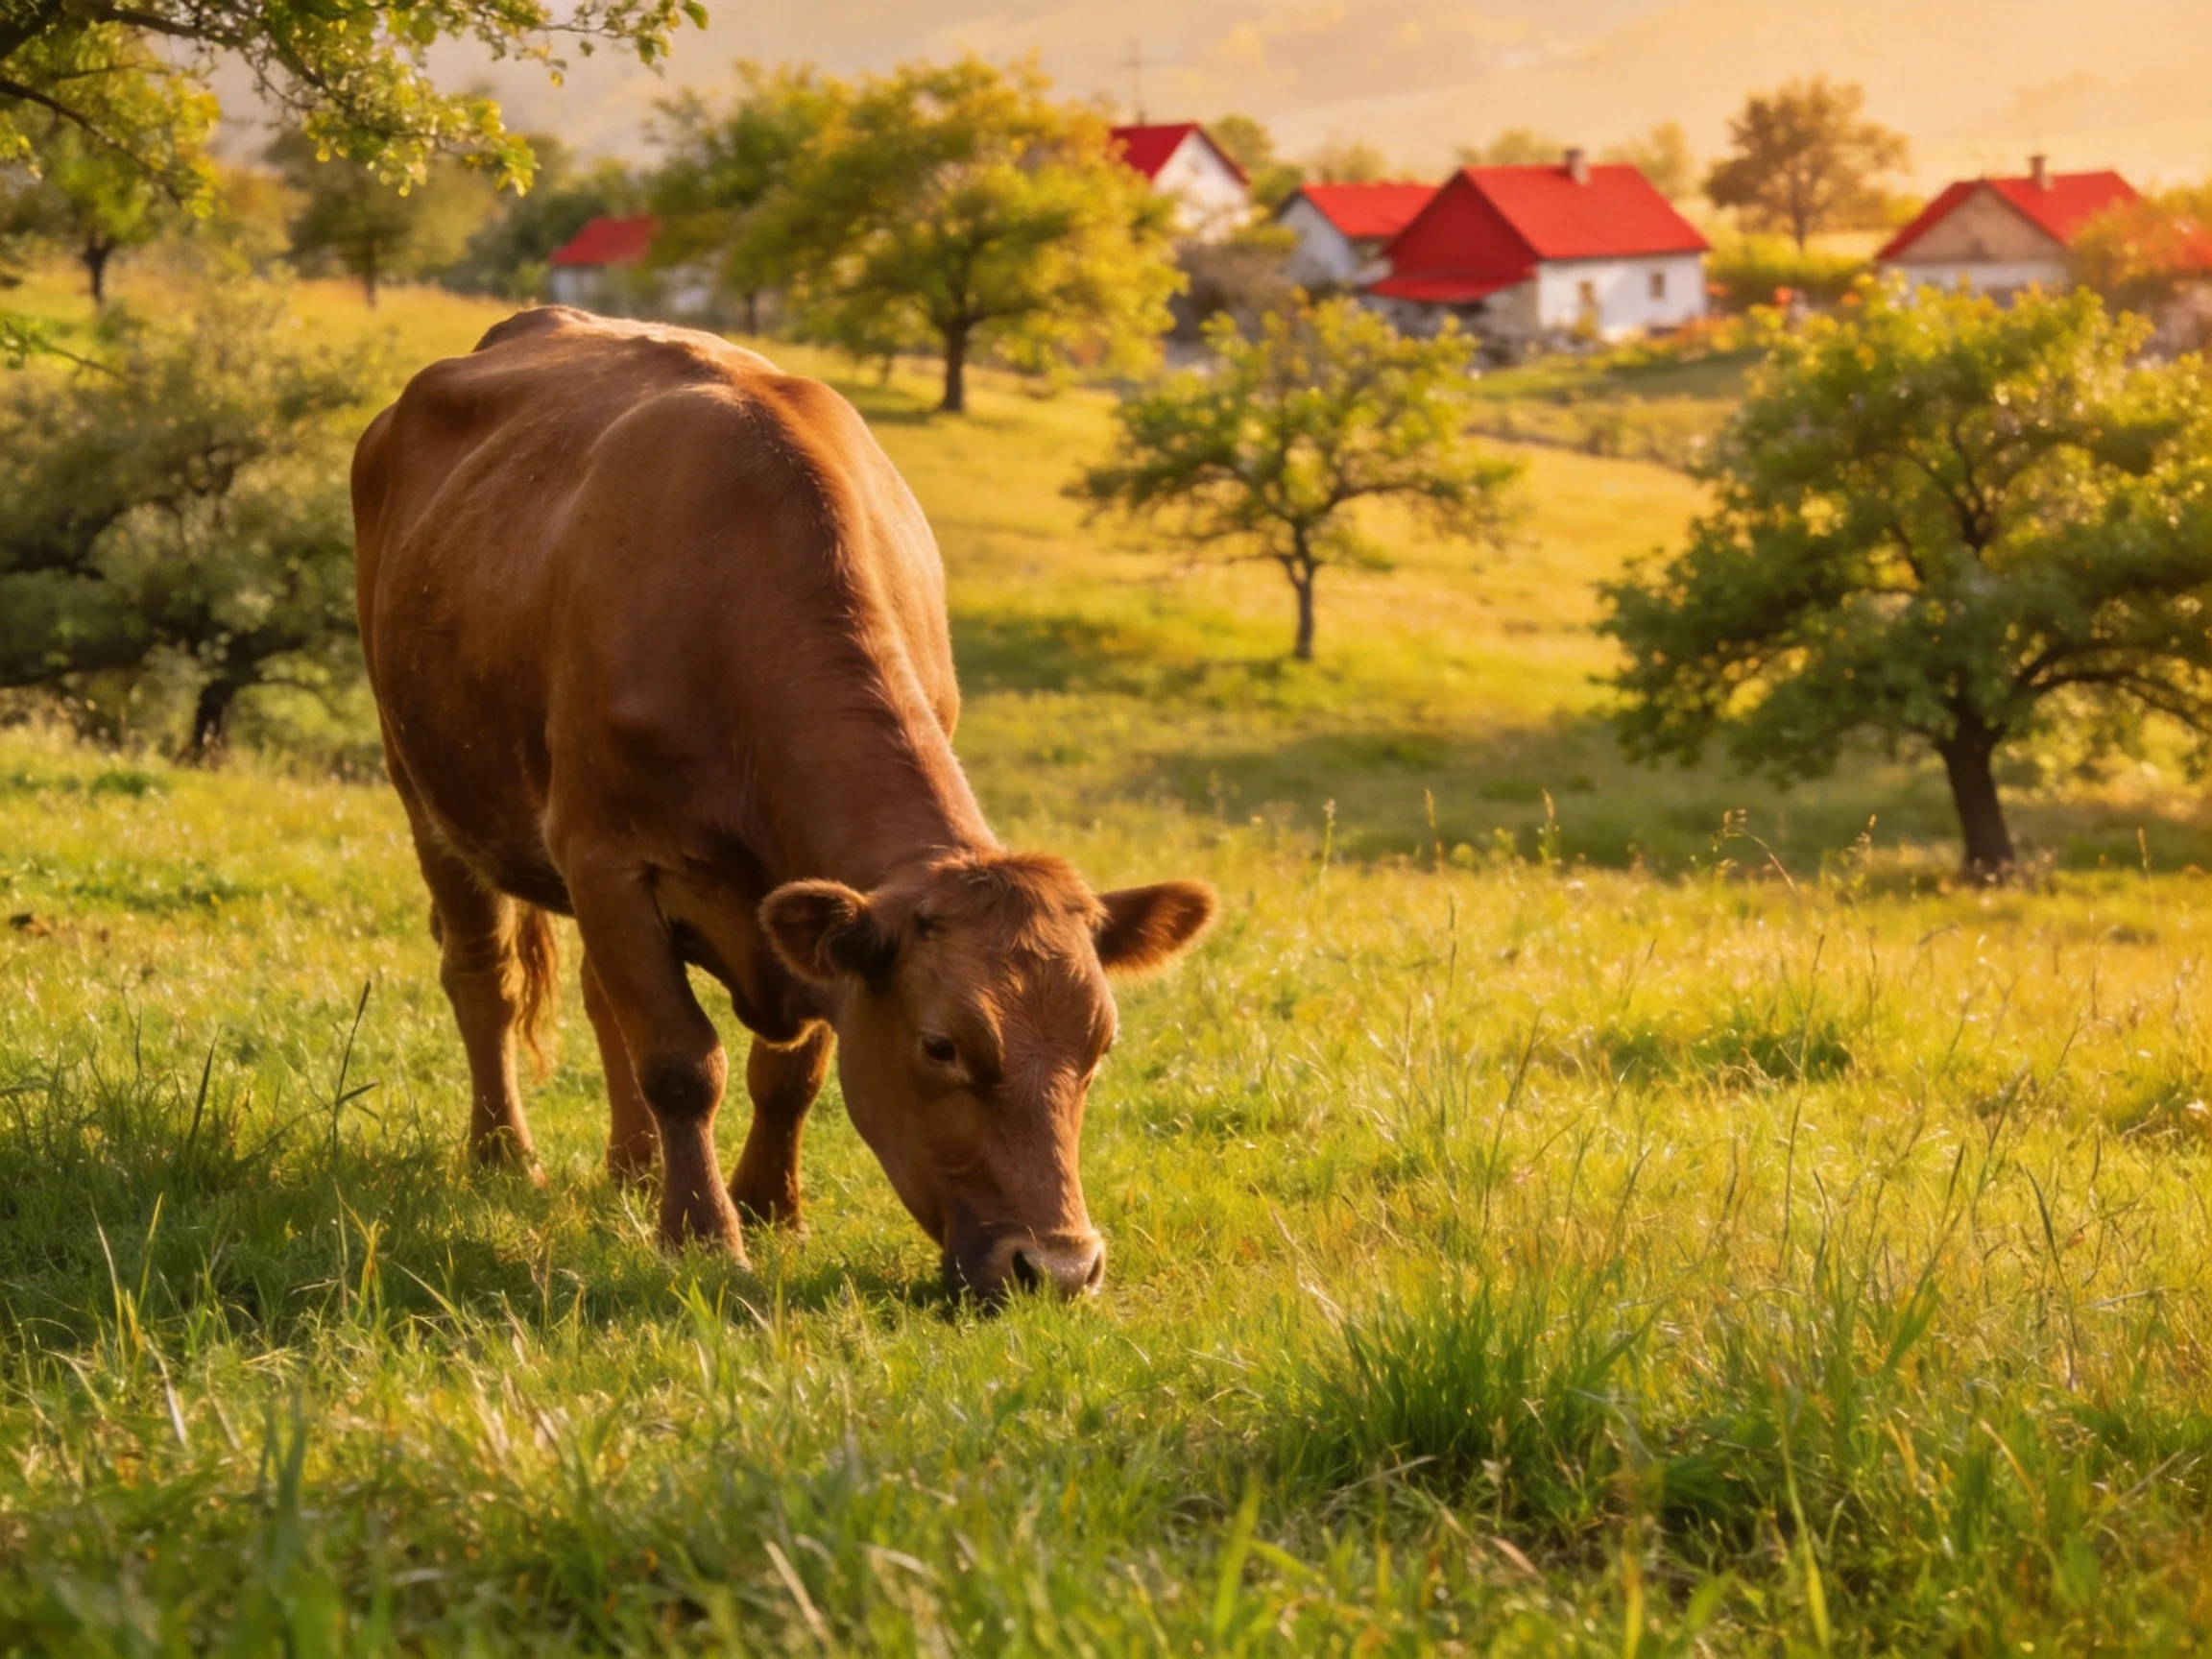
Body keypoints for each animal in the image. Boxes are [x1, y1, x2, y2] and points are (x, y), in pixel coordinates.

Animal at [351, 308, 1214, 1302]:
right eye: (943, 1046)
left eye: (1100, 1045)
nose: (1061, 1268)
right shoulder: (610, 859)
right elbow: (683, 1061)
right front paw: (703, 1239)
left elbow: (791, 1070)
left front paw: (769, 1209)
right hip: (422, 784)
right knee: (482, 975)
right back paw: (504, 1155)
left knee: (603, 1002)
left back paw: (633, 1171)